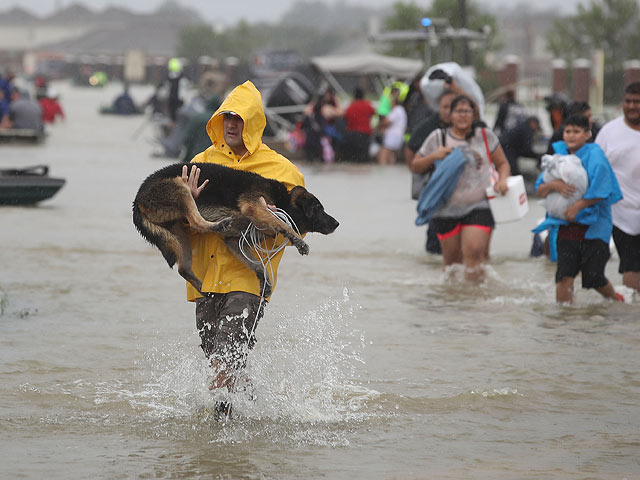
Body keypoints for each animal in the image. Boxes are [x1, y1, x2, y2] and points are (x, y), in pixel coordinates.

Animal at [131, 162, 340, 296]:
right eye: (319, 209)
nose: (337, 223)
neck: (284, 202)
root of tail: (137, 199)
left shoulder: (234, 241)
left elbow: (257, 265)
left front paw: (264, 281)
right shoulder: (255, 206)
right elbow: (282, 224)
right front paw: (298, 241)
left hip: (178, 231)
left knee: (183, 269)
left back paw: (204, 289)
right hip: (181, 187)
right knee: (196, 221)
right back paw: (217, 224)